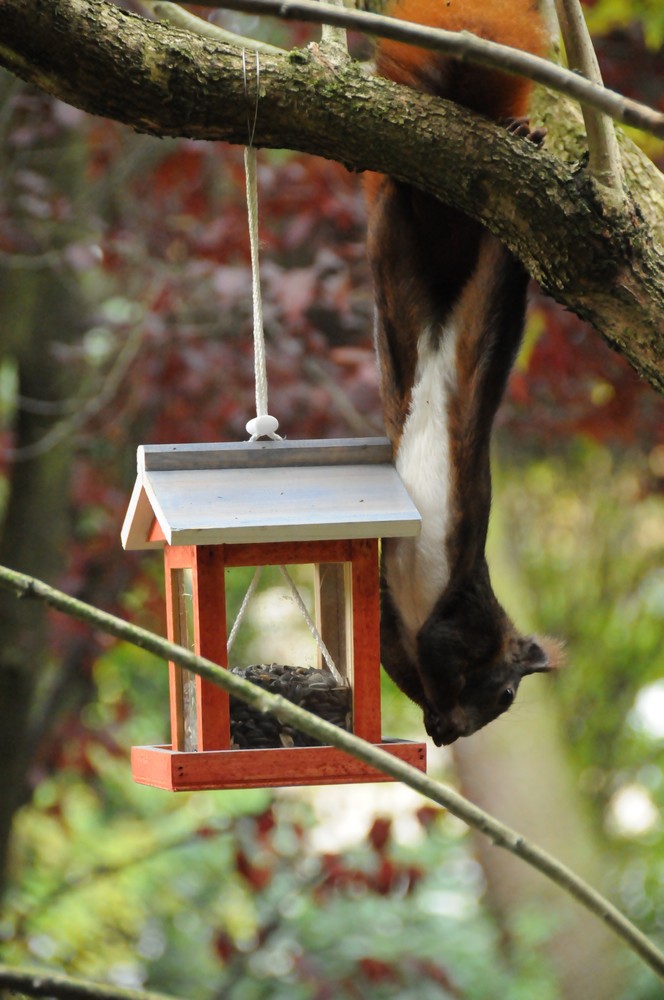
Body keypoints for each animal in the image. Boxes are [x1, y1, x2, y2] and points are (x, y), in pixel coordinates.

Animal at [366, 0, 556, 744]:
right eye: (505, 695)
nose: (452, 736)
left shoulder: (401, 626)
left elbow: (395, 650)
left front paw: (434, 720)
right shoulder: (461, 620)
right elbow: (436, 649)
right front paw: (442, 714)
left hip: (399, 294)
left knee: (397, 219)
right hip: (481, 288)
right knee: (505, 258)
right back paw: (526, 136)